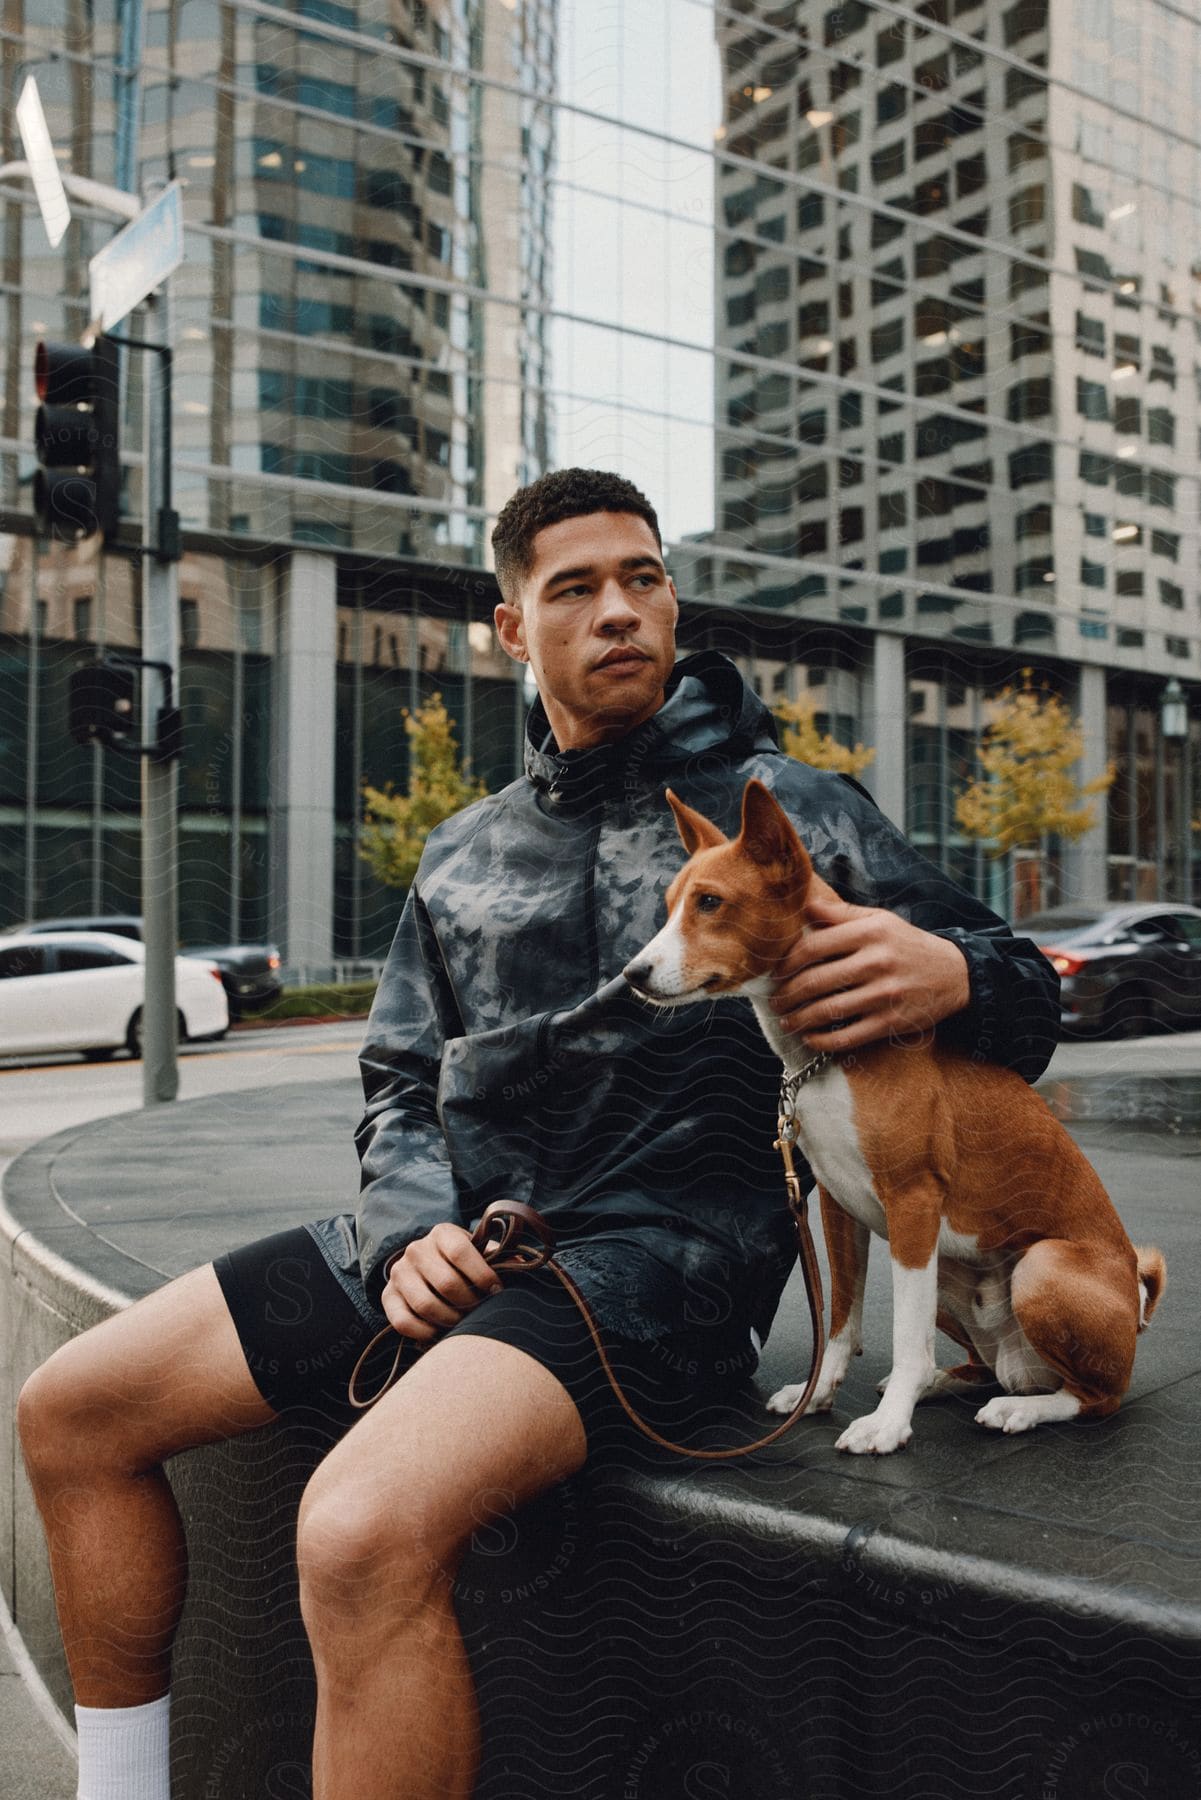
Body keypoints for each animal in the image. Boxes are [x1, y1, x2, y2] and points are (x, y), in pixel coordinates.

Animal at [619, 781, 1166, 1454]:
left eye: (711, 903)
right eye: (671, 905)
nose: (632, 974)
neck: (825, 1058)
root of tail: (1135, 1299)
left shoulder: (912, 1203)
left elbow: (904, 1338)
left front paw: (888, 1425)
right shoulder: (838, 1205)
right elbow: (840, 1319)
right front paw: (819, 1394)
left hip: (1037, 1269)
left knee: (1093, 1397)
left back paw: (1021, 1409)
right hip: (948, 1278)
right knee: (984, 1368)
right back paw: (946, 1382)